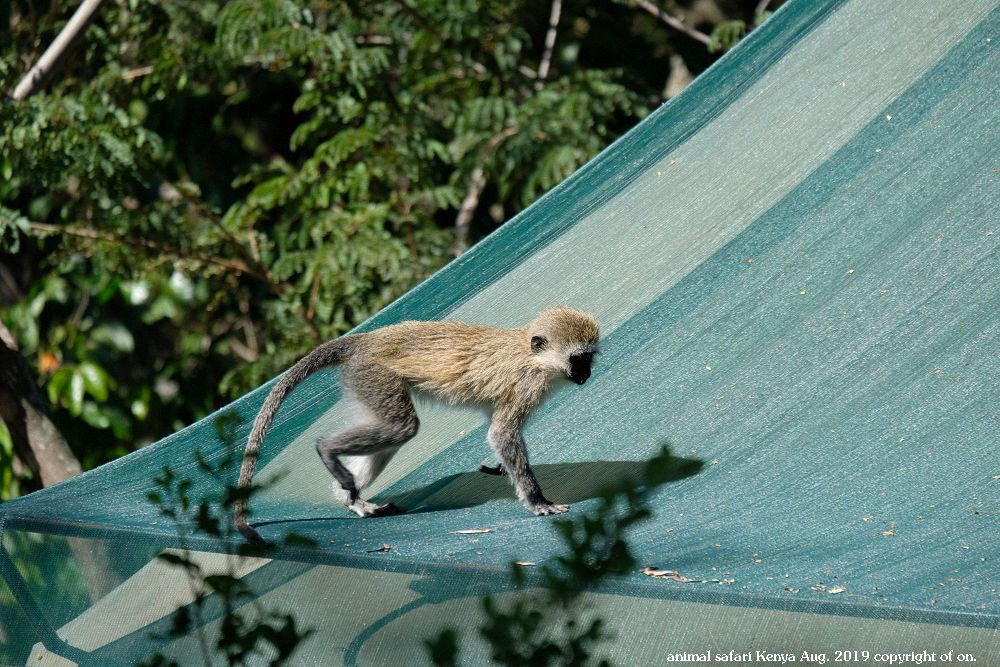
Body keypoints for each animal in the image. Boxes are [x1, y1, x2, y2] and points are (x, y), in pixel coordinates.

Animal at [236, 308, 592, 544]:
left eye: (589, 358)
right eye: (577, 359)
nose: (586, 374)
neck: (535, 359)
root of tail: (370, 339)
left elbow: (494, 428)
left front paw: (500, 468)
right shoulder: (527, 387)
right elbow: (501, 432)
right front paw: (538, 502)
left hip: (363, 382)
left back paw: (353, 501)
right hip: (375, 375)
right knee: (402, 427)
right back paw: (326, 451)